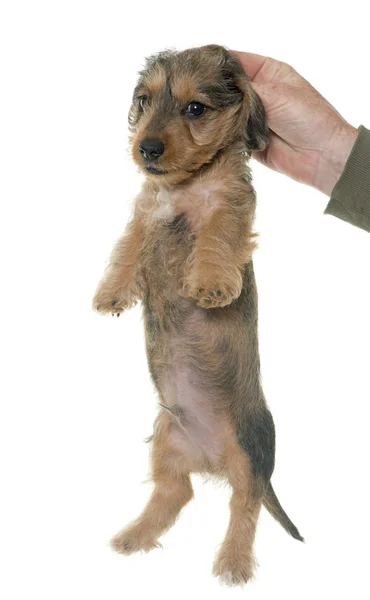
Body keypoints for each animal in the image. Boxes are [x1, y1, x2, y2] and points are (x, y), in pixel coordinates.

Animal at [93, 45, 304, 584]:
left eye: (195, 108)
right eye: (144, 100)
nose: (146, 148)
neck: (187, 185)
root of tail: (212, 460)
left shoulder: (230, 205)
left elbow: (218, 235)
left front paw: (209, 283)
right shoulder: (146, 210)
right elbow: (129, 243)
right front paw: (112, 291)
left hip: (249, 453)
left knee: (245, 505)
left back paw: (232, 562)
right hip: (166, 441)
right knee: (176, 493)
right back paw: (134, 536)